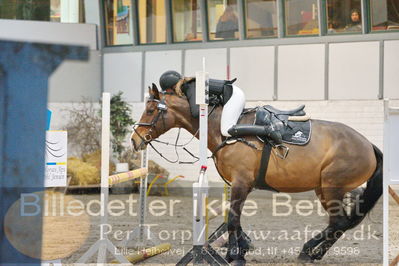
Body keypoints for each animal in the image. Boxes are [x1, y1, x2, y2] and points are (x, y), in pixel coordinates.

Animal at [130, 83, 382, 264]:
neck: (223, 129)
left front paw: (234, 255)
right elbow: (235, 220)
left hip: (331, 186)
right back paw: (314, 254)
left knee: (339, 222)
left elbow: (233, 220)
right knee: (339, 223)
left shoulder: (241, 183)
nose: (135, 140)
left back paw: (307, 251)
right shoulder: (241, 185)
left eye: (150, 110)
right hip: (324, 188)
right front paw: (238, 250)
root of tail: (368, 145)